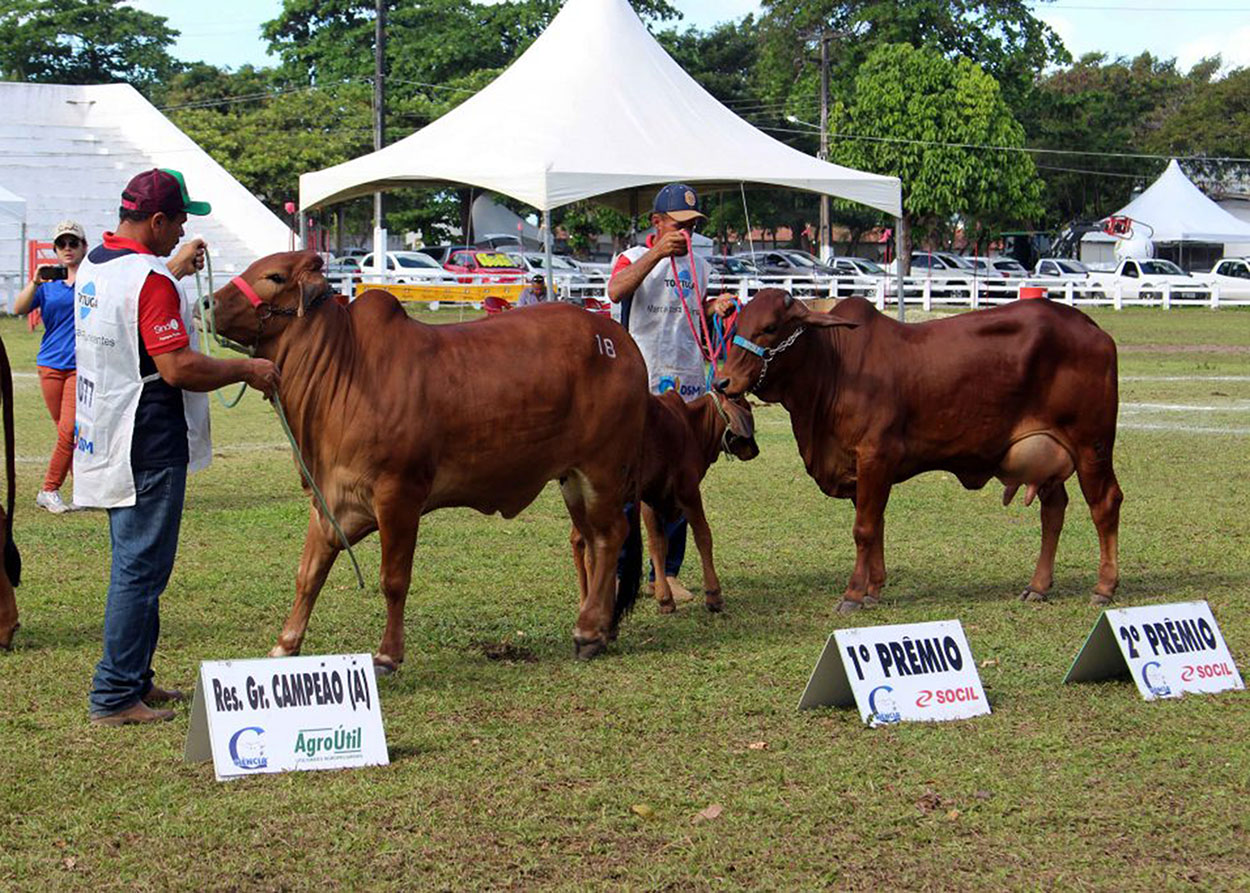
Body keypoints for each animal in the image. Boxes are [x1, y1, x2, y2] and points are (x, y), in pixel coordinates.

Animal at [207, 248, 645, 660]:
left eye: (275, 276)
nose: (208, 303)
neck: (345, 368)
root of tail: (620, 341)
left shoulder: (399, 495)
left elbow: (393, 579)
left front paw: (387, 654)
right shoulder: (329, 499)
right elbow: (308, 574)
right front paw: (285, 644)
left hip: (603, 469)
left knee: (611, 536)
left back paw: (588, 631)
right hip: (572, 479)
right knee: (590, 541)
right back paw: (598, 626)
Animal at [572, 390, 755, 612]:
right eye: (747, 408)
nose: (754, 450)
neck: (692, 425)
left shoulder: (652, 500)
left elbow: (660, 543)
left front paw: (665, 596)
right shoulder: (688, 492)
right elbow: (703, 537)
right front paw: (713, 595)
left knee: (578, 542)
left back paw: (585, 600)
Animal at [720, 292, 1130, 612]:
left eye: (770, 327)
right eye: (736, 324)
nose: (724, 381)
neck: (834, 368)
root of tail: (1091, 327)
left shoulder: (875, 456)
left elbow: (864, 529)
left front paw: (852, 594)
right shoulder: (861, 471)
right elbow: (877, 524)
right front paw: (873, 589)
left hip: (1091, 445)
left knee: (1105, 504)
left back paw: (1104, 587)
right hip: (1049, 454)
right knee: (1054, 510)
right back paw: (1038, 586)